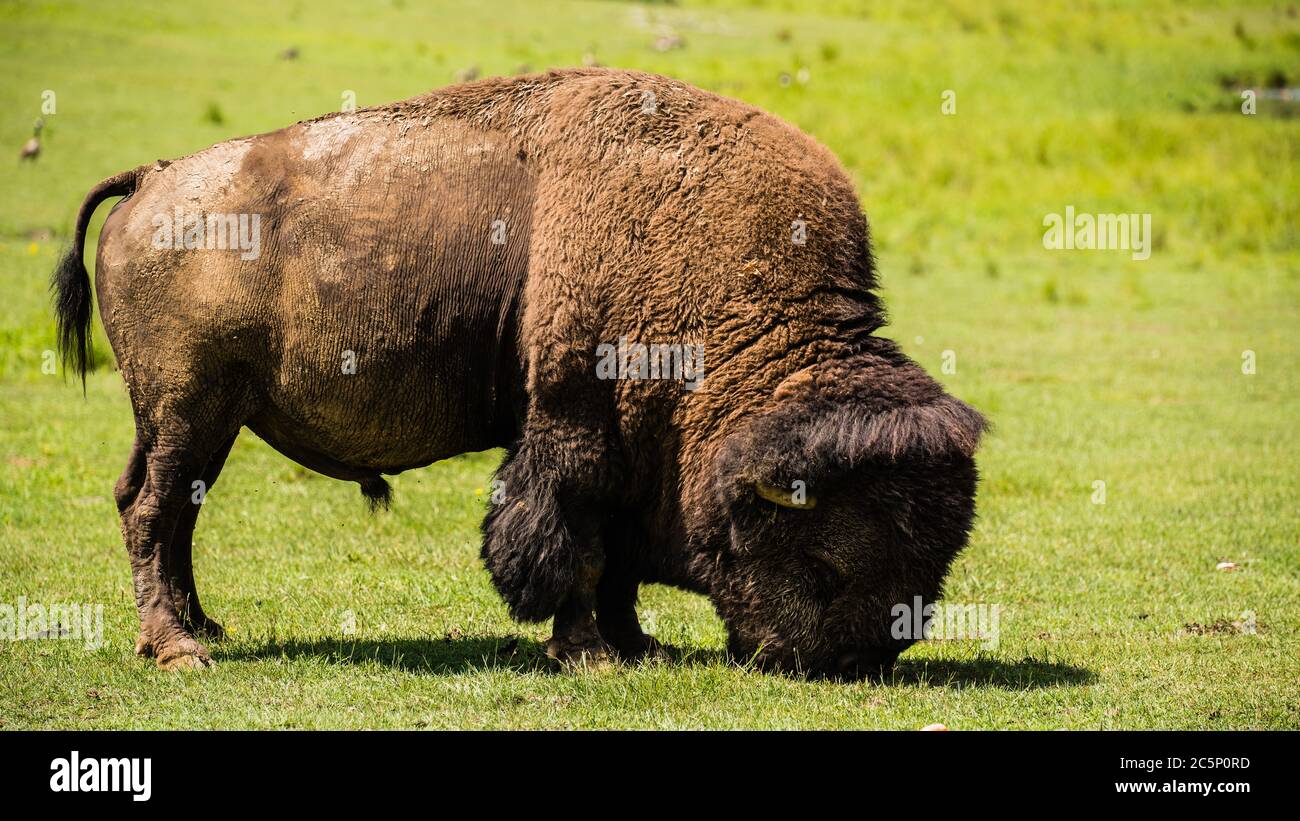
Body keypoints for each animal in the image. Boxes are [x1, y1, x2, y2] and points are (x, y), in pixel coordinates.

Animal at [50, 67, 982, 675]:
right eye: (832, 559)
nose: (863, 659)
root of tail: (153, 180)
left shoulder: (625, 444)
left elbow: (611, 551)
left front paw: (635, 644)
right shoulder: (575, 423)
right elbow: (573, 540)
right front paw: (592, 654)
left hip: (207, 418)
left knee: (170, 511)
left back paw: (206, 626)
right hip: (188, 407)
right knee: (150, 509)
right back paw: (178, 650)